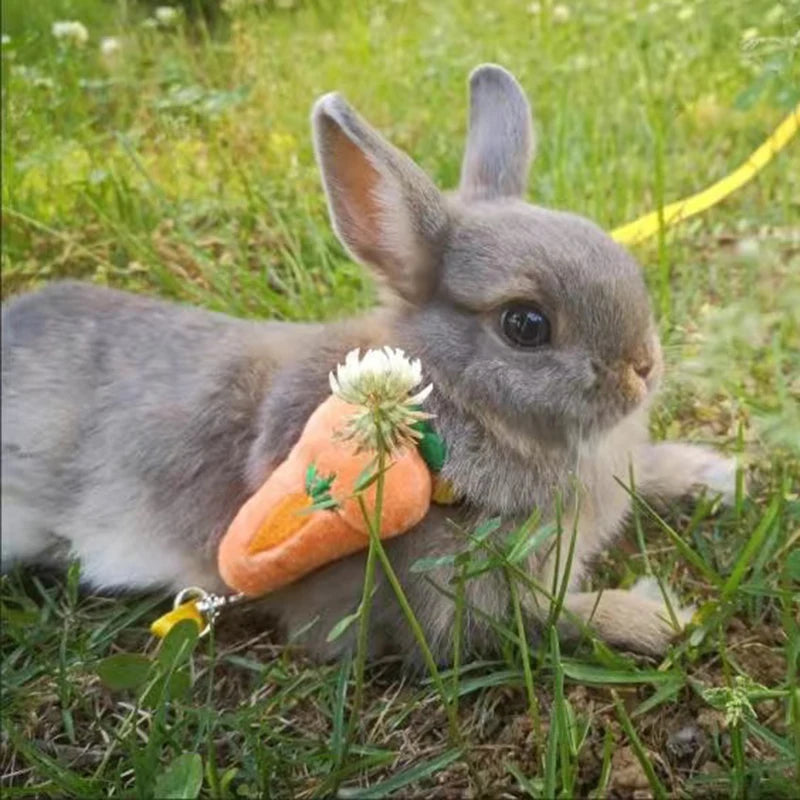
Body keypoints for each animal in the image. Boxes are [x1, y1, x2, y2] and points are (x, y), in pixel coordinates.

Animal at [1, 64, 737, 664]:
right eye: (525, 325)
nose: (643, 367)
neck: (447, 406)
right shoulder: (463, 605)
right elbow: (557, 620)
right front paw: (660, 617)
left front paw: (713, 475)